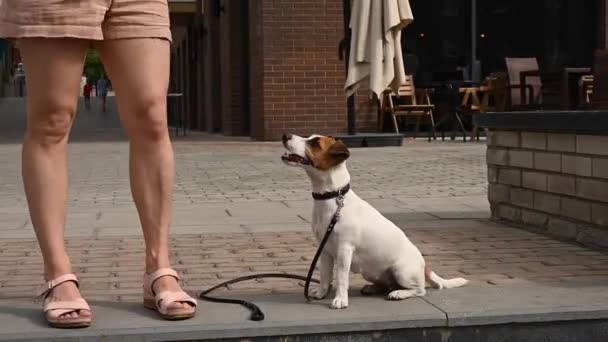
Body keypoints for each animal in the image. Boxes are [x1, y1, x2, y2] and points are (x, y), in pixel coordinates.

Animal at [282, 134, 468, 310]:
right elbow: (325, 276)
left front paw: (340, 299)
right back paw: (373, 288)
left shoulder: (344, 250)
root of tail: (425, 265)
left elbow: (341, 278)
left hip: (401, 270)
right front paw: (321, 293)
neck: (333, 197)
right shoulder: (325, 250)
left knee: (419, 289)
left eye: (315, 143)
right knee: (386, 285)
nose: (285, 135)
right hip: (372, 272)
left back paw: (398, 293)